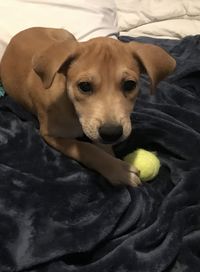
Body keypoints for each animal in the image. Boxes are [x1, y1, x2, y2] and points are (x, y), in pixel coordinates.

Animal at [0, 26, 175, 186]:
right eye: (84, 86)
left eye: (130, 85)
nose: (111, 133)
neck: (71, 106)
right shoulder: (50, 134)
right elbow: (85, 148)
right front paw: (119, 170)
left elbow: (102, 146)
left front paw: (113, 161)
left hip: (67, 37)